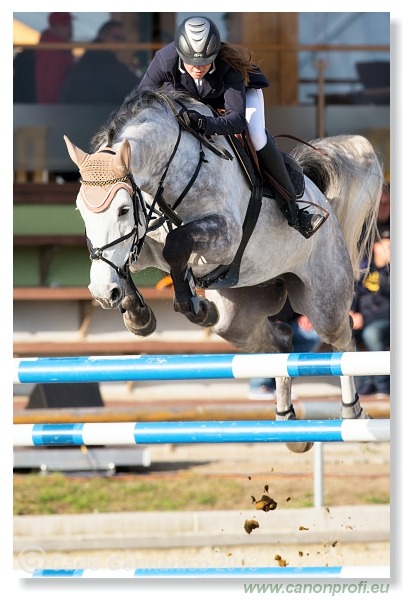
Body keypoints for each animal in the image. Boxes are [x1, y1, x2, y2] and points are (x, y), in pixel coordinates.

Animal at [64, 88, 386, 454]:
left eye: (121, 209)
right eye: (80, 209)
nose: (103, 294)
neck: (169, 173)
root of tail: (325, 203)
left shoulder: (225, 236)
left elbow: (177, 242)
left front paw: (192, 304)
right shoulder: (146, 237)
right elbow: (132, 255)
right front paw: (137, 314)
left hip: (323, 301)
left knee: (342, 340)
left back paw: (353, 413)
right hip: (238, 320)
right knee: (279, 346)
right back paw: (287, 423)